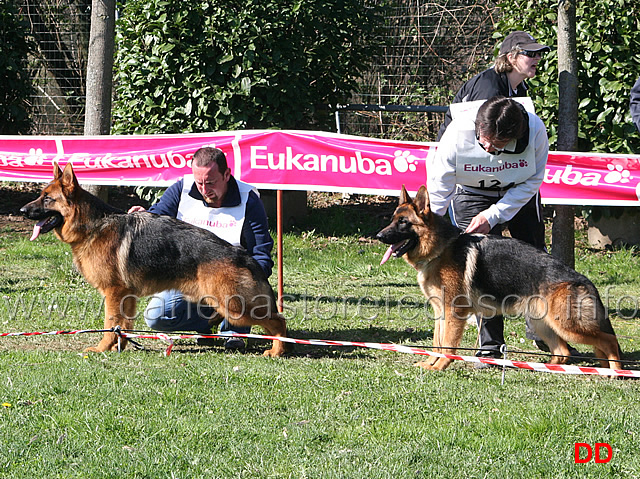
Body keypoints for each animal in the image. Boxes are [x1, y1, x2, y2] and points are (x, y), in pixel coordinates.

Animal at [20, 164, 288, 356]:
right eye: (40, 196)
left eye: (47, 199)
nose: (22, 211)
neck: (91, 225)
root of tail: (243, 255)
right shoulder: (125, 296)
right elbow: (123, 326)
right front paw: (120, 347)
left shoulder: (113, 292)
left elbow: (110, 323)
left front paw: (101, 349)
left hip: (234, 306)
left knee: (279, 321)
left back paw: (277, 350)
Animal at [378, 187, 624, 372]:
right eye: (392, 220)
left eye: (403, 222)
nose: (379, 236)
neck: (440, 249)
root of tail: (583, 280)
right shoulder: (441, 312)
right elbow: (436, 343)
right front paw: (430, 363)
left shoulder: (454, 313)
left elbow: (447, 345)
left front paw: (440, 367)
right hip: (542, 322)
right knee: (562, 352)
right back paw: (551, 368)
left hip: (566, 325)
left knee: (608, 340)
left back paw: (615, 371)